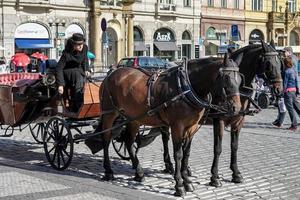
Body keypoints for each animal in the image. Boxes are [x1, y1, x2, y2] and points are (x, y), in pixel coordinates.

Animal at [90, 54, 243, 197]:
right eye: (226, 78)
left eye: (240, 79)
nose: (236, 108)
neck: (185, 87)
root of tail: (111, 74)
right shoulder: (177, 127)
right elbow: (178, 155)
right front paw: (179, 185)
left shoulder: (191, 128)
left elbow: (186, 154)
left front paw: (187, 181)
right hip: (109, 113)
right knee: (106, 139)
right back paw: (108, 171)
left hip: (134, 118)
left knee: (128, 141)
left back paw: (139, 173)